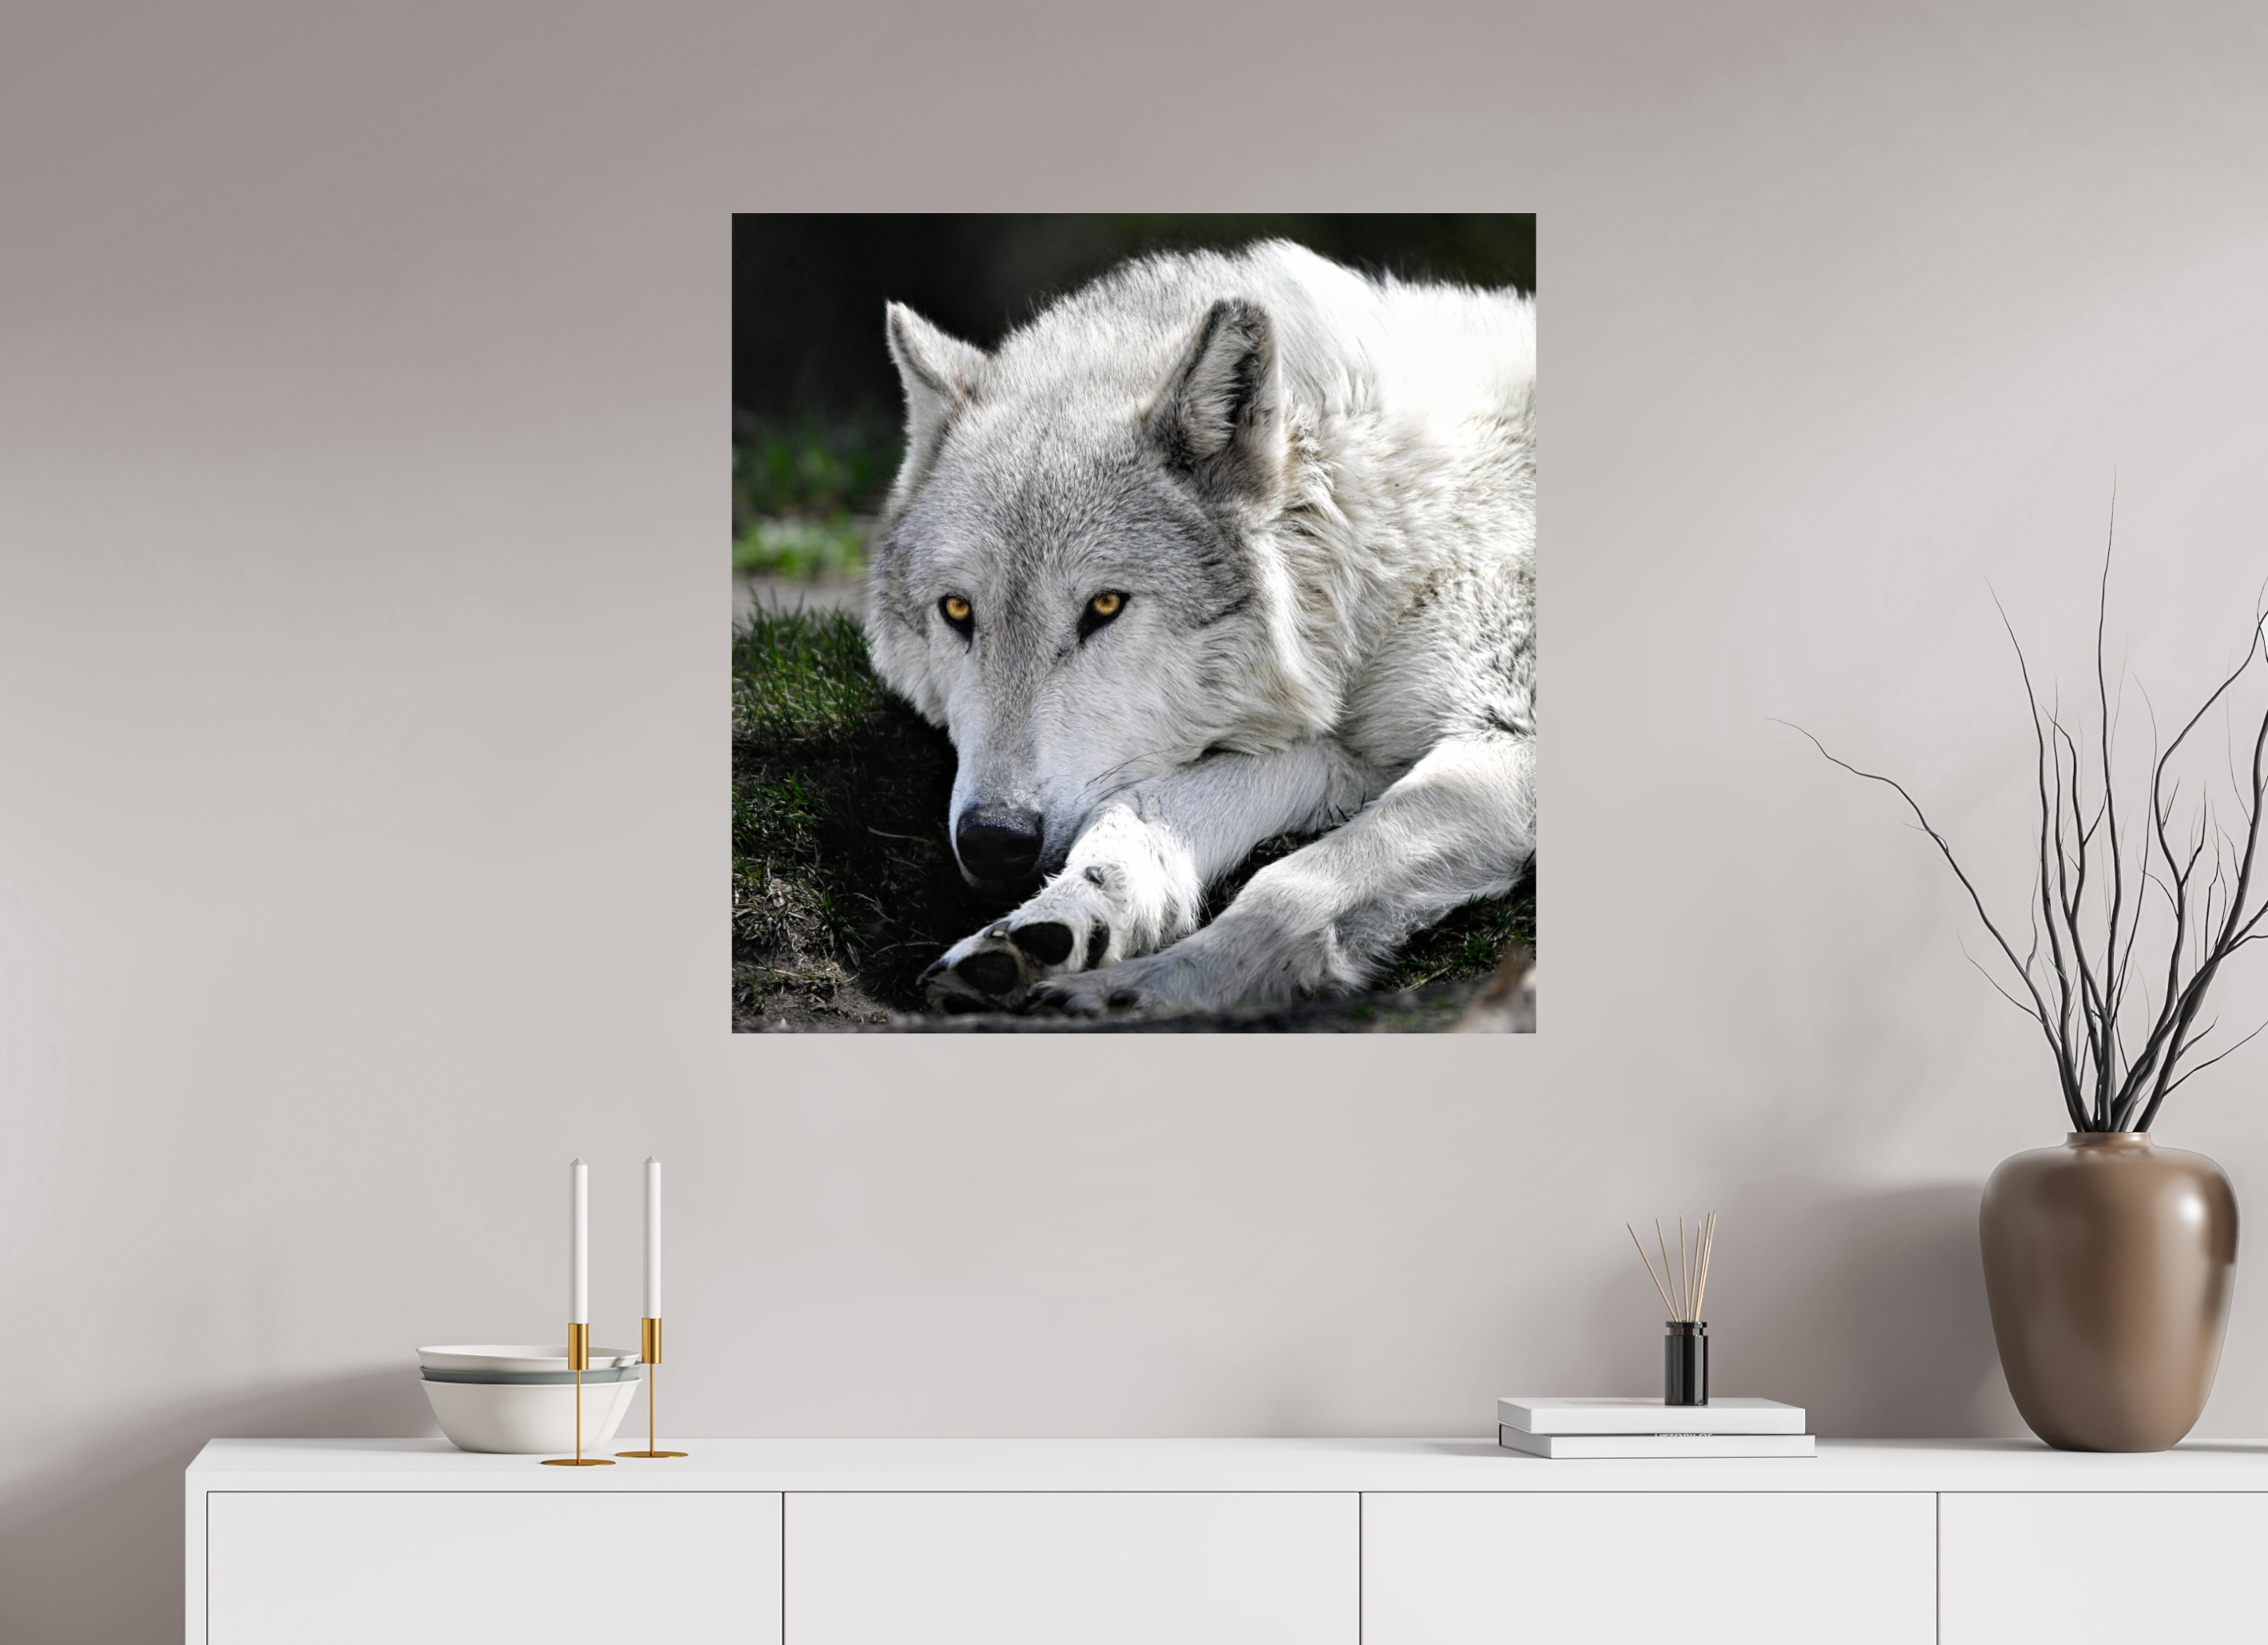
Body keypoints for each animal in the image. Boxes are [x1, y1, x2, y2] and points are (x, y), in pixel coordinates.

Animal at [865, 240, 1535, 1017]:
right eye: (957, 611)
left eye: (1105, 606)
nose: (992, 841)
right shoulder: (1348, 754)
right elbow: (1136, 808)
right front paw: (1061, 921)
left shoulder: (1507, 739)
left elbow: (1292, 882)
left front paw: (1143, 992)